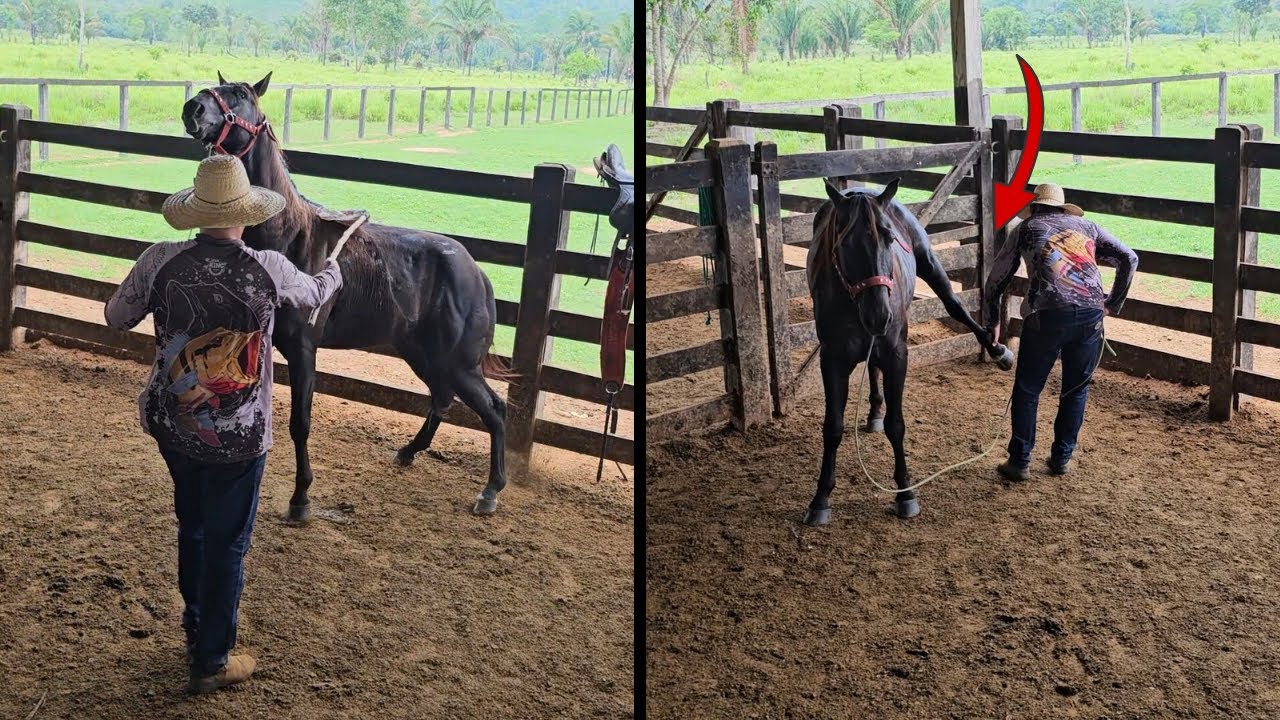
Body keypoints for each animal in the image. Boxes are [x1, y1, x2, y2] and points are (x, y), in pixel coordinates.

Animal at [180, 72, 510, 519]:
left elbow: (300, 423)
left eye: (242, 95)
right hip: (424, 354)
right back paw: (409, 452)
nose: (193, 108)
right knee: (442, 398)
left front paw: (301, 498)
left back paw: (490, 490)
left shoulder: (304, 348)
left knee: (493, 410)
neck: (291, 238)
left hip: (459, 363)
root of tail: (476, 273)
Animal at [803, 178, 1010, 526]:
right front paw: (820, 498)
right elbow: (833, 427)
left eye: (889, 238)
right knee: (872, 368)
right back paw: (873, 411)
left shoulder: (897, 355)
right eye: (845, 243)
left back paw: (997, 351)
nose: (879, 315)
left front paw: (905, 493)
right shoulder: (831, 360)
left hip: (930, 264)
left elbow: (896, 425)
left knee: (954, 305)